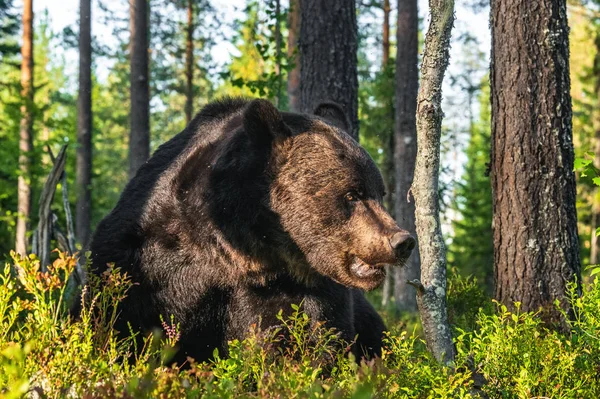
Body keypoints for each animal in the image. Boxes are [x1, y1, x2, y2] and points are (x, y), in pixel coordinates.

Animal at [89, 98, 414, 364]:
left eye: (380, 192)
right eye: (352, 194)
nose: (402, 241)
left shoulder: (291, 292)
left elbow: (308, 343)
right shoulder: (149, 261)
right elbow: (121, 319)